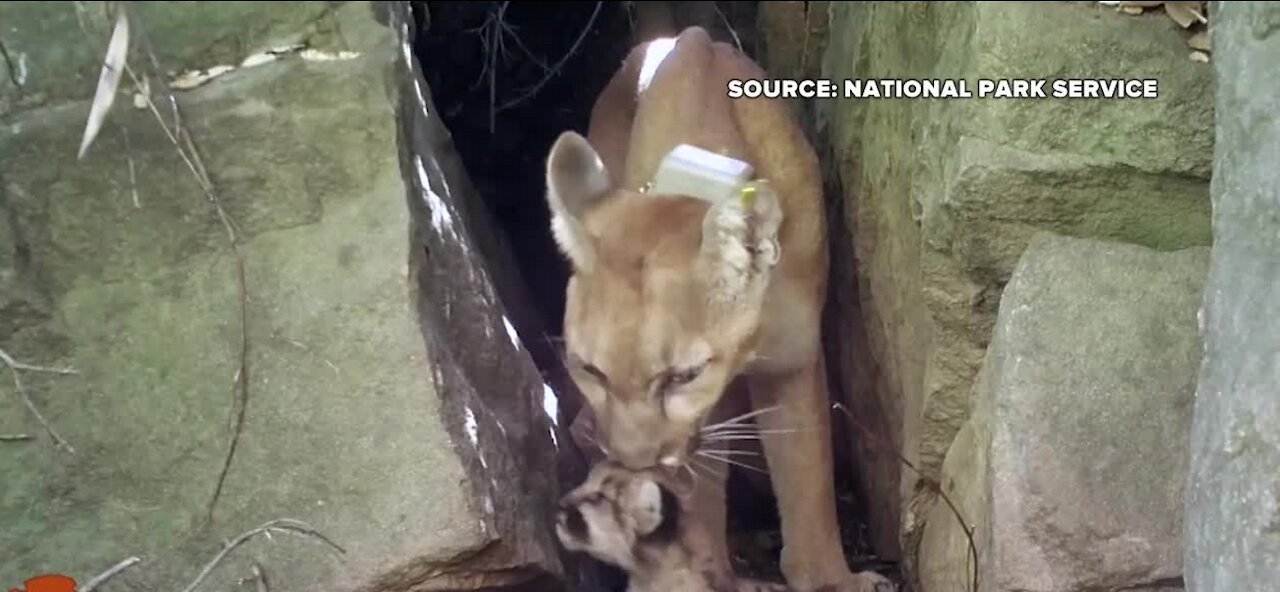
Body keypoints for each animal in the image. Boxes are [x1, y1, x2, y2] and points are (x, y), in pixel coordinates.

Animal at [540, 25, 890, 589]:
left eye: (683, 376)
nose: (635, 461)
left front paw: (828, 578)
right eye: (590, 370)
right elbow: (698, 492)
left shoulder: (792, 359)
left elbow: (806, 473)